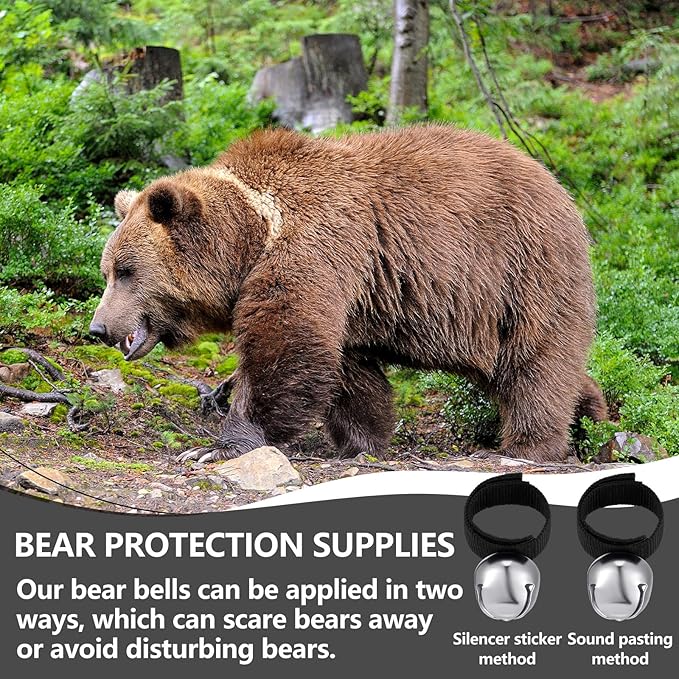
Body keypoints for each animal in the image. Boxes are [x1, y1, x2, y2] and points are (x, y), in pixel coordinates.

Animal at [89, 124, 608, 463]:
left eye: (127, 272)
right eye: (107, 270)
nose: (99, 327)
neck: (254, 237)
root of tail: (560, 188)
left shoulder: (317, 251)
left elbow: (288, 346)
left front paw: (220, 444)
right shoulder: (353, 289)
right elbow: (347, 368)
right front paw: (362, 442)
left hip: (521, 270)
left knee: (535, 363)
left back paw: (530, 445)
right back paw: (593, 415)